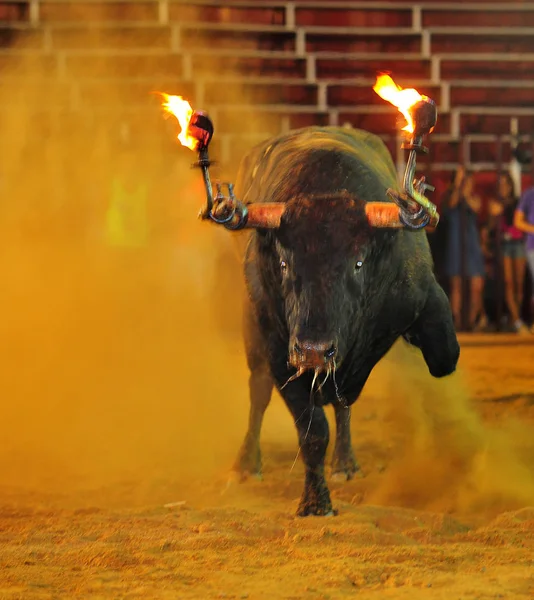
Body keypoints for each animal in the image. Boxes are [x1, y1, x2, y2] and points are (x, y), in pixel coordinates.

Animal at [229, 126, 460, 516]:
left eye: (358, 263)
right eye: (284, 263)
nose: (313, 351)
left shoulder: (419, 294)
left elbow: (445, 356)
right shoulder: (279, 352)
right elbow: (312, 431)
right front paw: (315, 503)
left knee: (343, 404)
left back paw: (346, 463)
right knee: (258, 391)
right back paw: (247, 464)